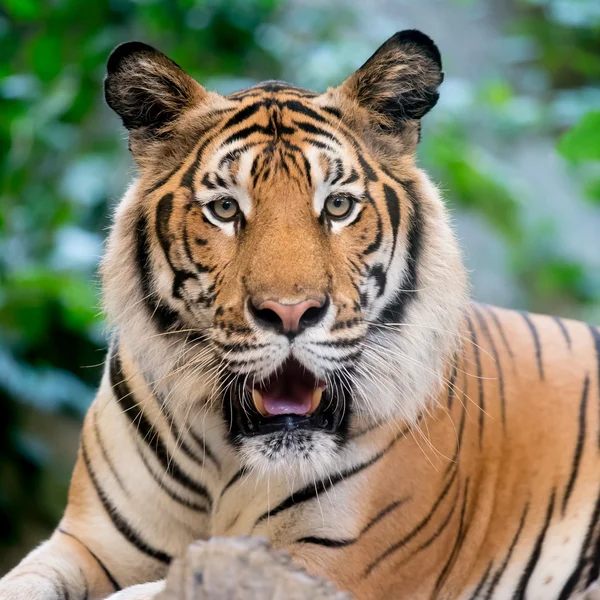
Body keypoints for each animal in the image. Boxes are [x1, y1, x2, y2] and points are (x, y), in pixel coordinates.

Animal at [1, 27, 600, 600]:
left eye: (337, 205)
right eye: (225, 208)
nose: (290, 313)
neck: (227, 462)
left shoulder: (330, 564)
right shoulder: (87, 543)